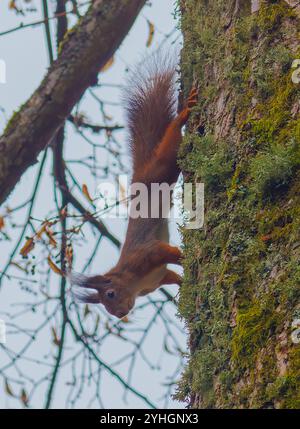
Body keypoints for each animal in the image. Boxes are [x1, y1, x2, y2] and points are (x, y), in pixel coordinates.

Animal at [70, 56, 197, 318]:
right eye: (106, 308)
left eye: (110, 294)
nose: (120, 315)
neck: (134, 282)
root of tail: (140, 173)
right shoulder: (158, 279)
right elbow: (172, 275)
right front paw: (184, 288)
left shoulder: (147, 254)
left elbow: (168, 252)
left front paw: (185, 256)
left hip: (163, 165)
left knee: (172, 138)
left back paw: (184, 114)